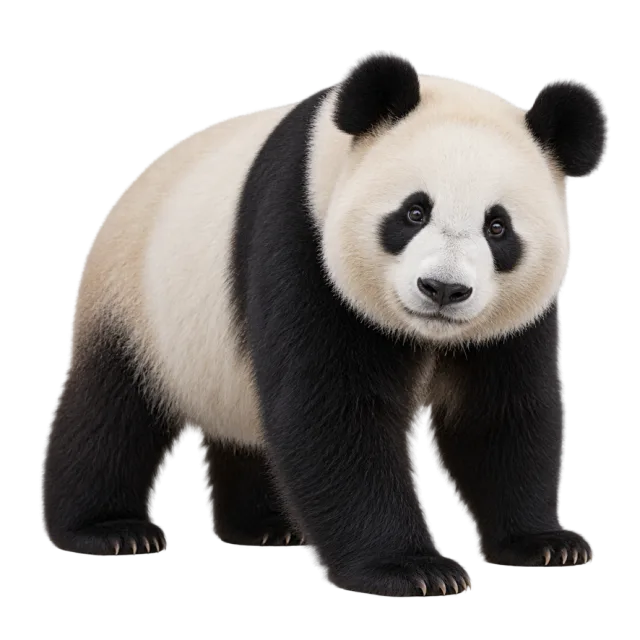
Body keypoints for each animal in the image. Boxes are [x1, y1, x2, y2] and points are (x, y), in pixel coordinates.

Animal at [42, 52, 606, 597]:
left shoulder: (514, 323)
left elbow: (500, 413)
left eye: (498, 227)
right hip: (136, 300)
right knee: (111, 412)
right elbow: (331, 411)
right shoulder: (300, 236)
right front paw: (412, 569)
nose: (442, 289)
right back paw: (111, 531)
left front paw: (546, 543)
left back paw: (265, 526)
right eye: (414, 212)